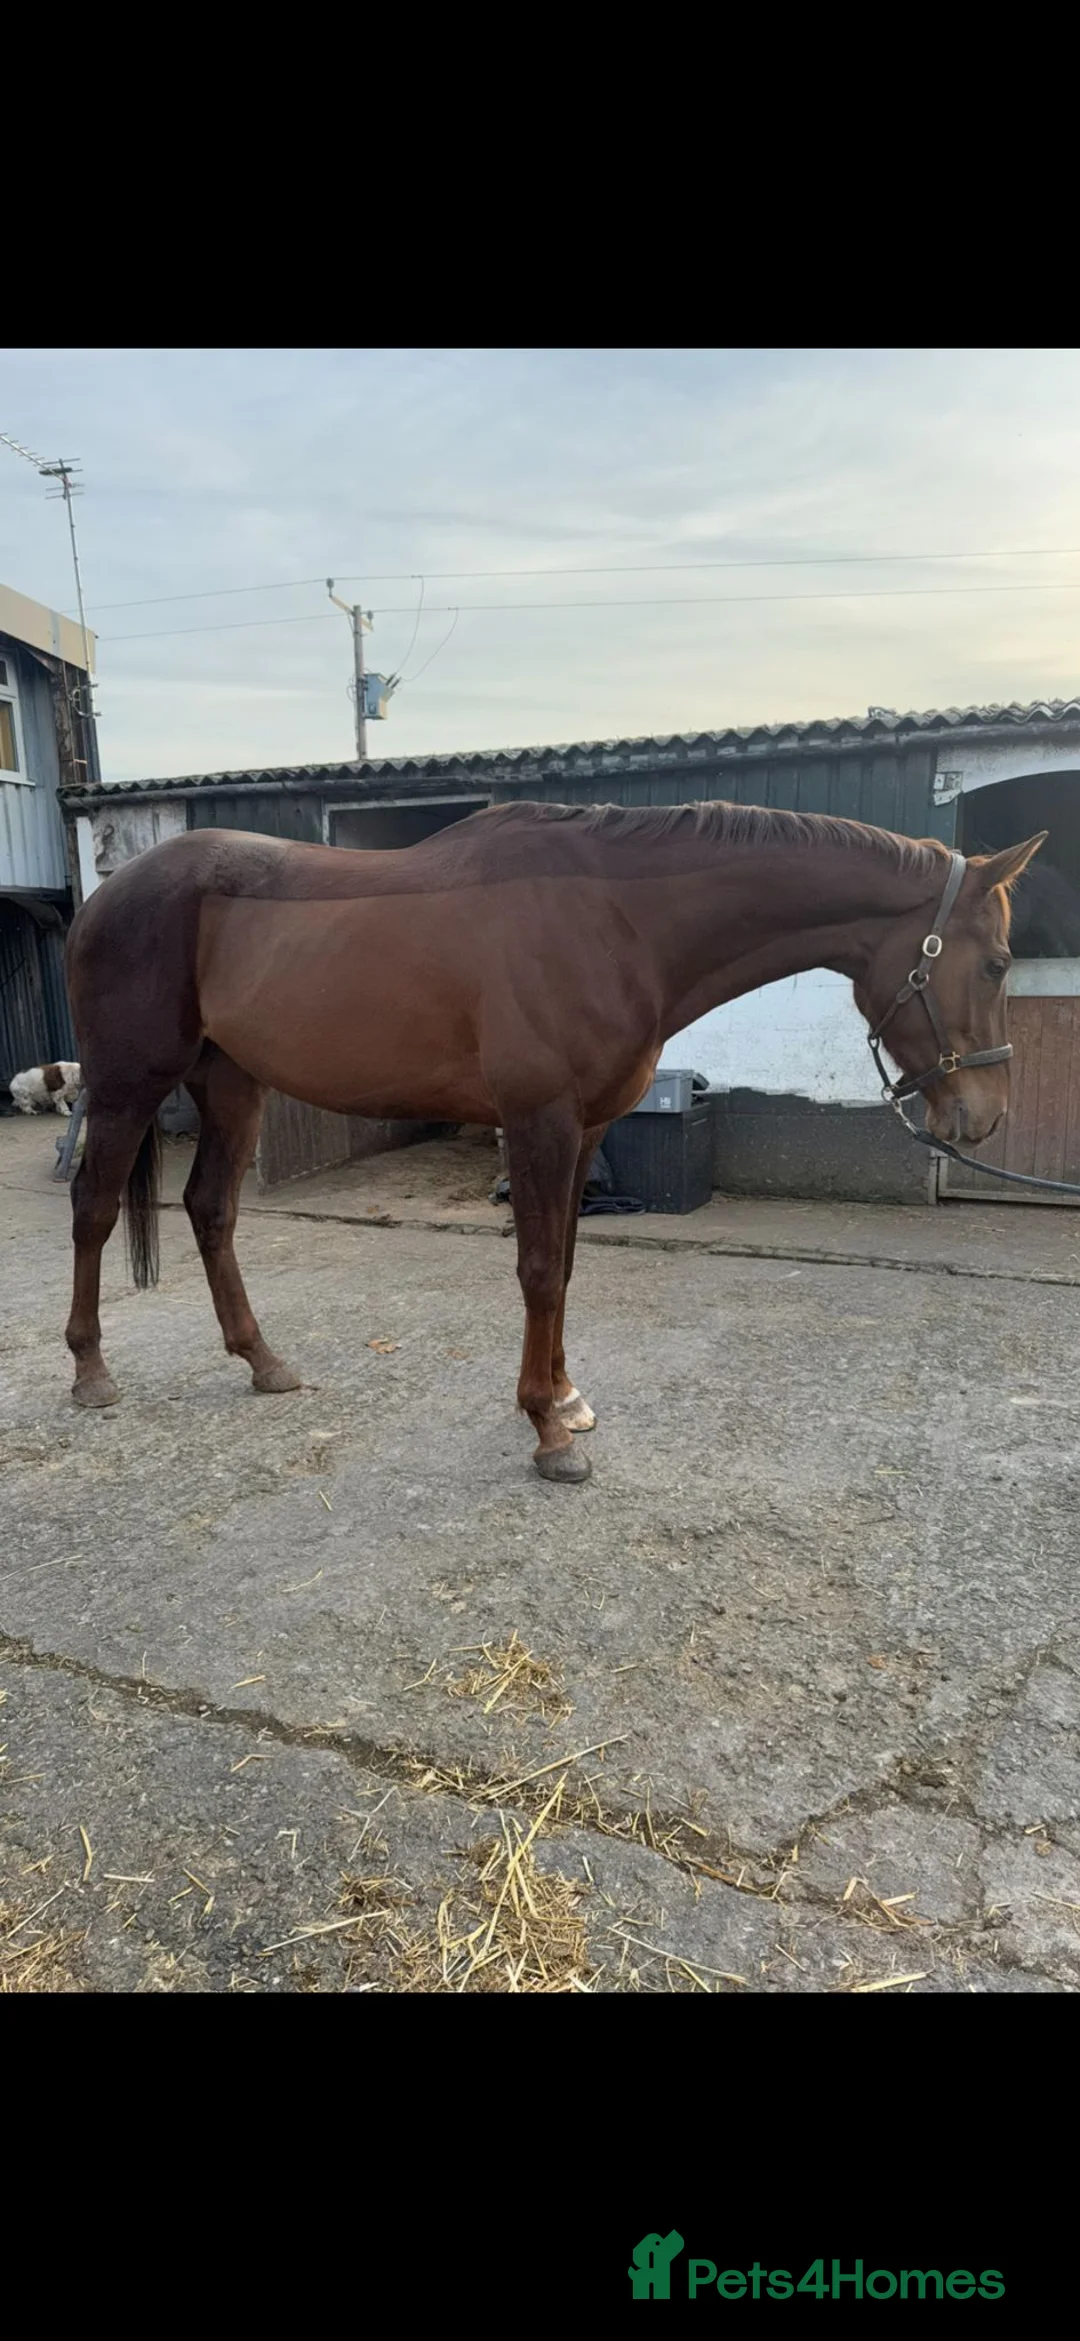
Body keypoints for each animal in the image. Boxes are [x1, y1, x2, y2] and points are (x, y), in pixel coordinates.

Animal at [62, 801, 1044, 1484]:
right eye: (997, 961)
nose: (986, 1115)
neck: (613, 920)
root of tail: (109, 892)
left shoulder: (589, 1126)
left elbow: (566, 1264)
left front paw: (567, 1401)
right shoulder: (539, 1119)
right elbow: (538, 1270)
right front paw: (545, 1432)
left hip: (230, 1082)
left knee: (209, 1208)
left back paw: (263, 1360)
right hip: (125, 1085)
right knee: (95, 1208)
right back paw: (91, 1372)